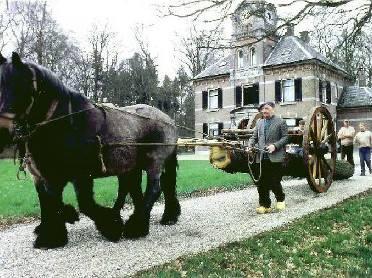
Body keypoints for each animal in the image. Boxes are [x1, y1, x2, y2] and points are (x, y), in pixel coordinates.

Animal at [0, 52, 181, 248]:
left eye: (21, 86)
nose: (2, 130)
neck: (67, 124)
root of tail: (167, 119)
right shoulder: (45, 176)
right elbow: (49, 202)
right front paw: (51, 233)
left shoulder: (79, 174)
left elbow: (84, 204)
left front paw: (110, 226)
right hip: (132, 166)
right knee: (137, 188)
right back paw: (157, 217)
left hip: (153, 161)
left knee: (154, 189)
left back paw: (136, 226)